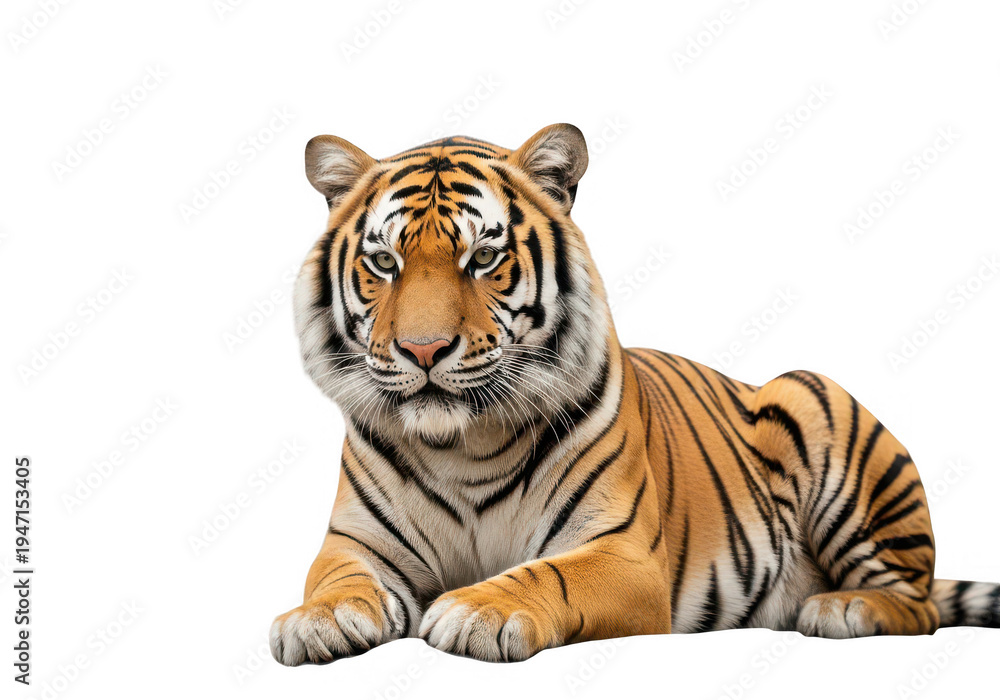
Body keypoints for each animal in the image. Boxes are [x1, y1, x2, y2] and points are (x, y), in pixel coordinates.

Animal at [269, 123, 1000, 664]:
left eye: (483, 259)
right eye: (383, 263)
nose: (423, 351)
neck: (464, 445)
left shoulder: (623, 552)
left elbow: (547, 573)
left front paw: (479, 608)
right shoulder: (356, 543)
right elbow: (336, 580)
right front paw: (315, 620)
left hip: (814, 398)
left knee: (918, 604)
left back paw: (842, 607)